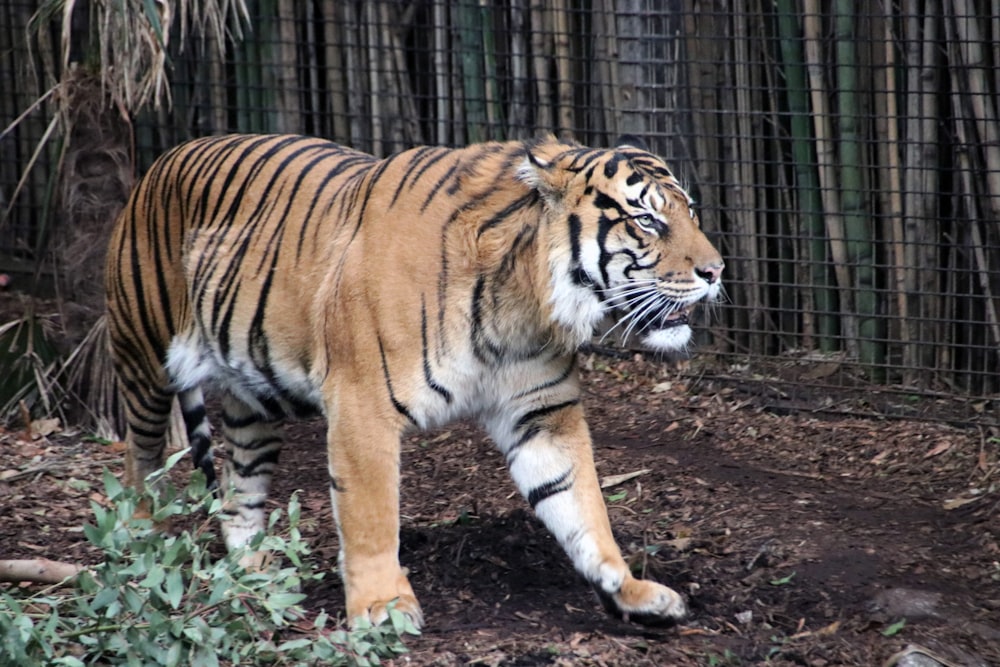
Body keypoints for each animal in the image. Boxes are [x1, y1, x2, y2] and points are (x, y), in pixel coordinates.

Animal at [105, 132, 724, 632]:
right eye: (647, 220)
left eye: (690, 213)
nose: (716, 271)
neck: (522, 300)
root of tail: (160, 161)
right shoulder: (362, 408)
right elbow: (372, 516)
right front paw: (383, 608)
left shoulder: (544, 414)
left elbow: (583, 508)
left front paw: (633, 591)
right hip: (142, 357)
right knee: (138, 455)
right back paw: (137, 539)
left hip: (252, 401)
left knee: (239, 489)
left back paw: (256, 573)